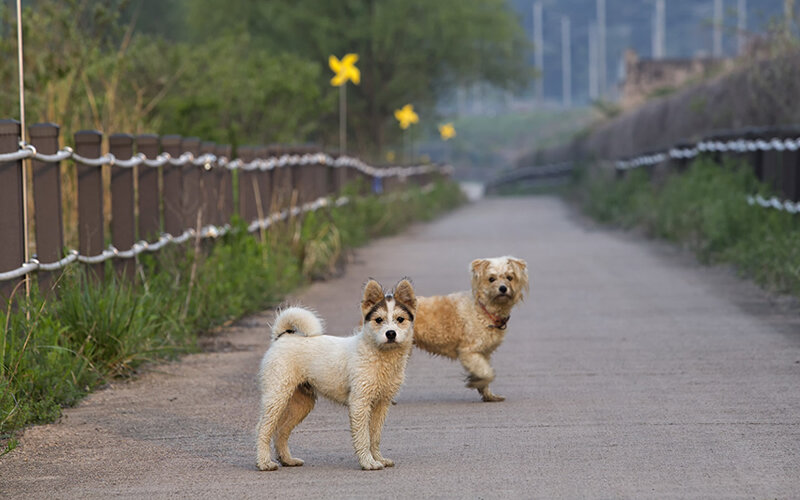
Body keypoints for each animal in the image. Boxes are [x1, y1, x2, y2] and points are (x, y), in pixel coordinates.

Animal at [256, 280, 418, 470]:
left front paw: (379, 458)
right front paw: (368, 462)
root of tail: (282, 338)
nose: (390, 333)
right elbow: (363, 437)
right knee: (263, 429)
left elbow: (375, 436)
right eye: (379, 320)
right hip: (276, 396)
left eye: (400, 319)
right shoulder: (359, 403)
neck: (378, 354)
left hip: (301, 403)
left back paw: (288, 460)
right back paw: (264, 462)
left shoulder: (381, 404)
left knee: (281, 431)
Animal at [412, 258, 532, 402]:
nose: (503, 288)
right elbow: (488, 373)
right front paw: (475, 382)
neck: (482, 311)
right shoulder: (469, 352)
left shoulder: (483, 353)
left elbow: (485, 372)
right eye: (491, 279)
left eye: (510, 277)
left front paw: (489, 395)